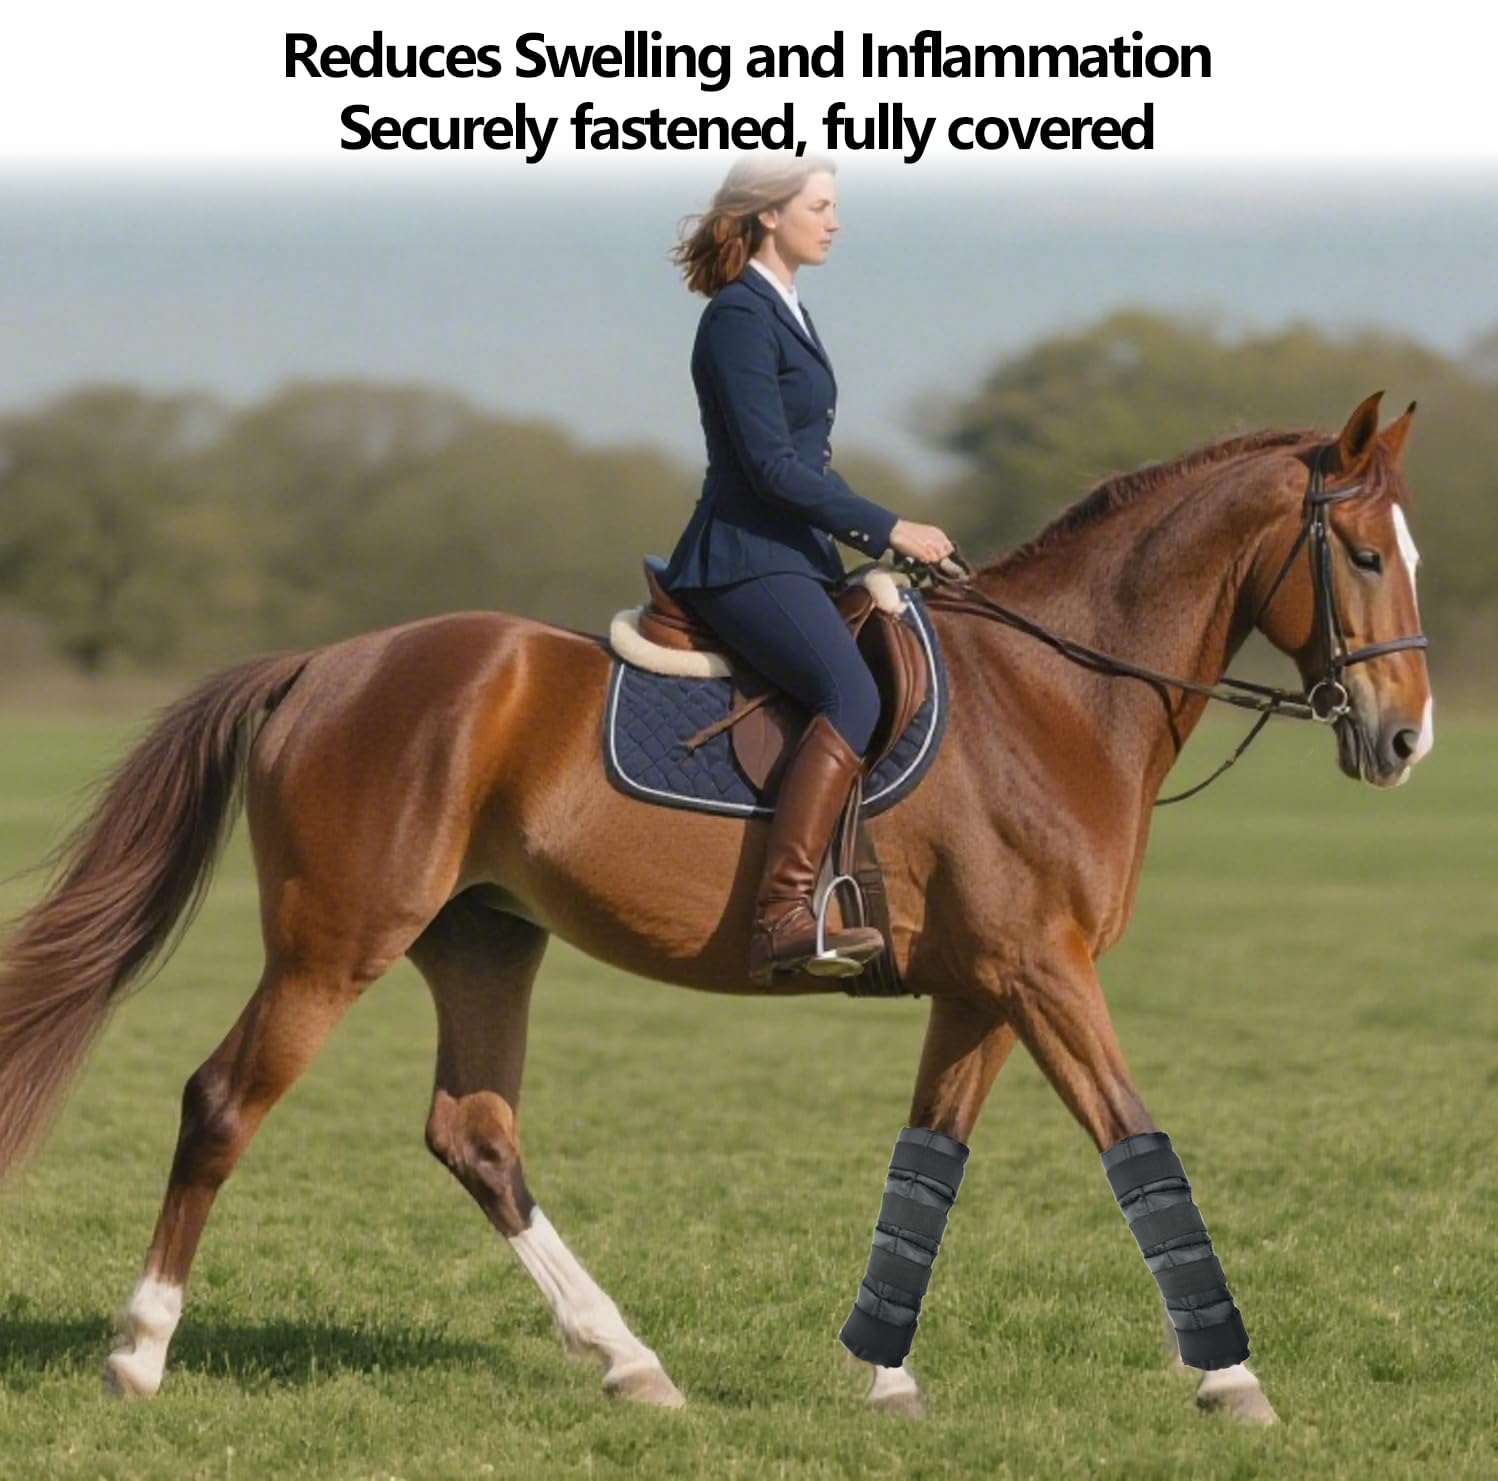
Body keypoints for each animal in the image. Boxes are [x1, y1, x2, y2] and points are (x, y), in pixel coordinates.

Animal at [0, 391, 1432, 1424]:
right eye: (1363, 553)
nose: (1406, 739)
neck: (1058, 692)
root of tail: (323, 665)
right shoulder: (1044, 972)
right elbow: (1137, 1141)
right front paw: (1230, 1376)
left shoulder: (985, 986)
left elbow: (930, 1163)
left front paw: (881, 1373)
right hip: (333, 942)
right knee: (223, 1101)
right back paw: (138, 1353)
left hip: (483, 939)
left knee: (475, 1133)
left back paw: (629, 1361)